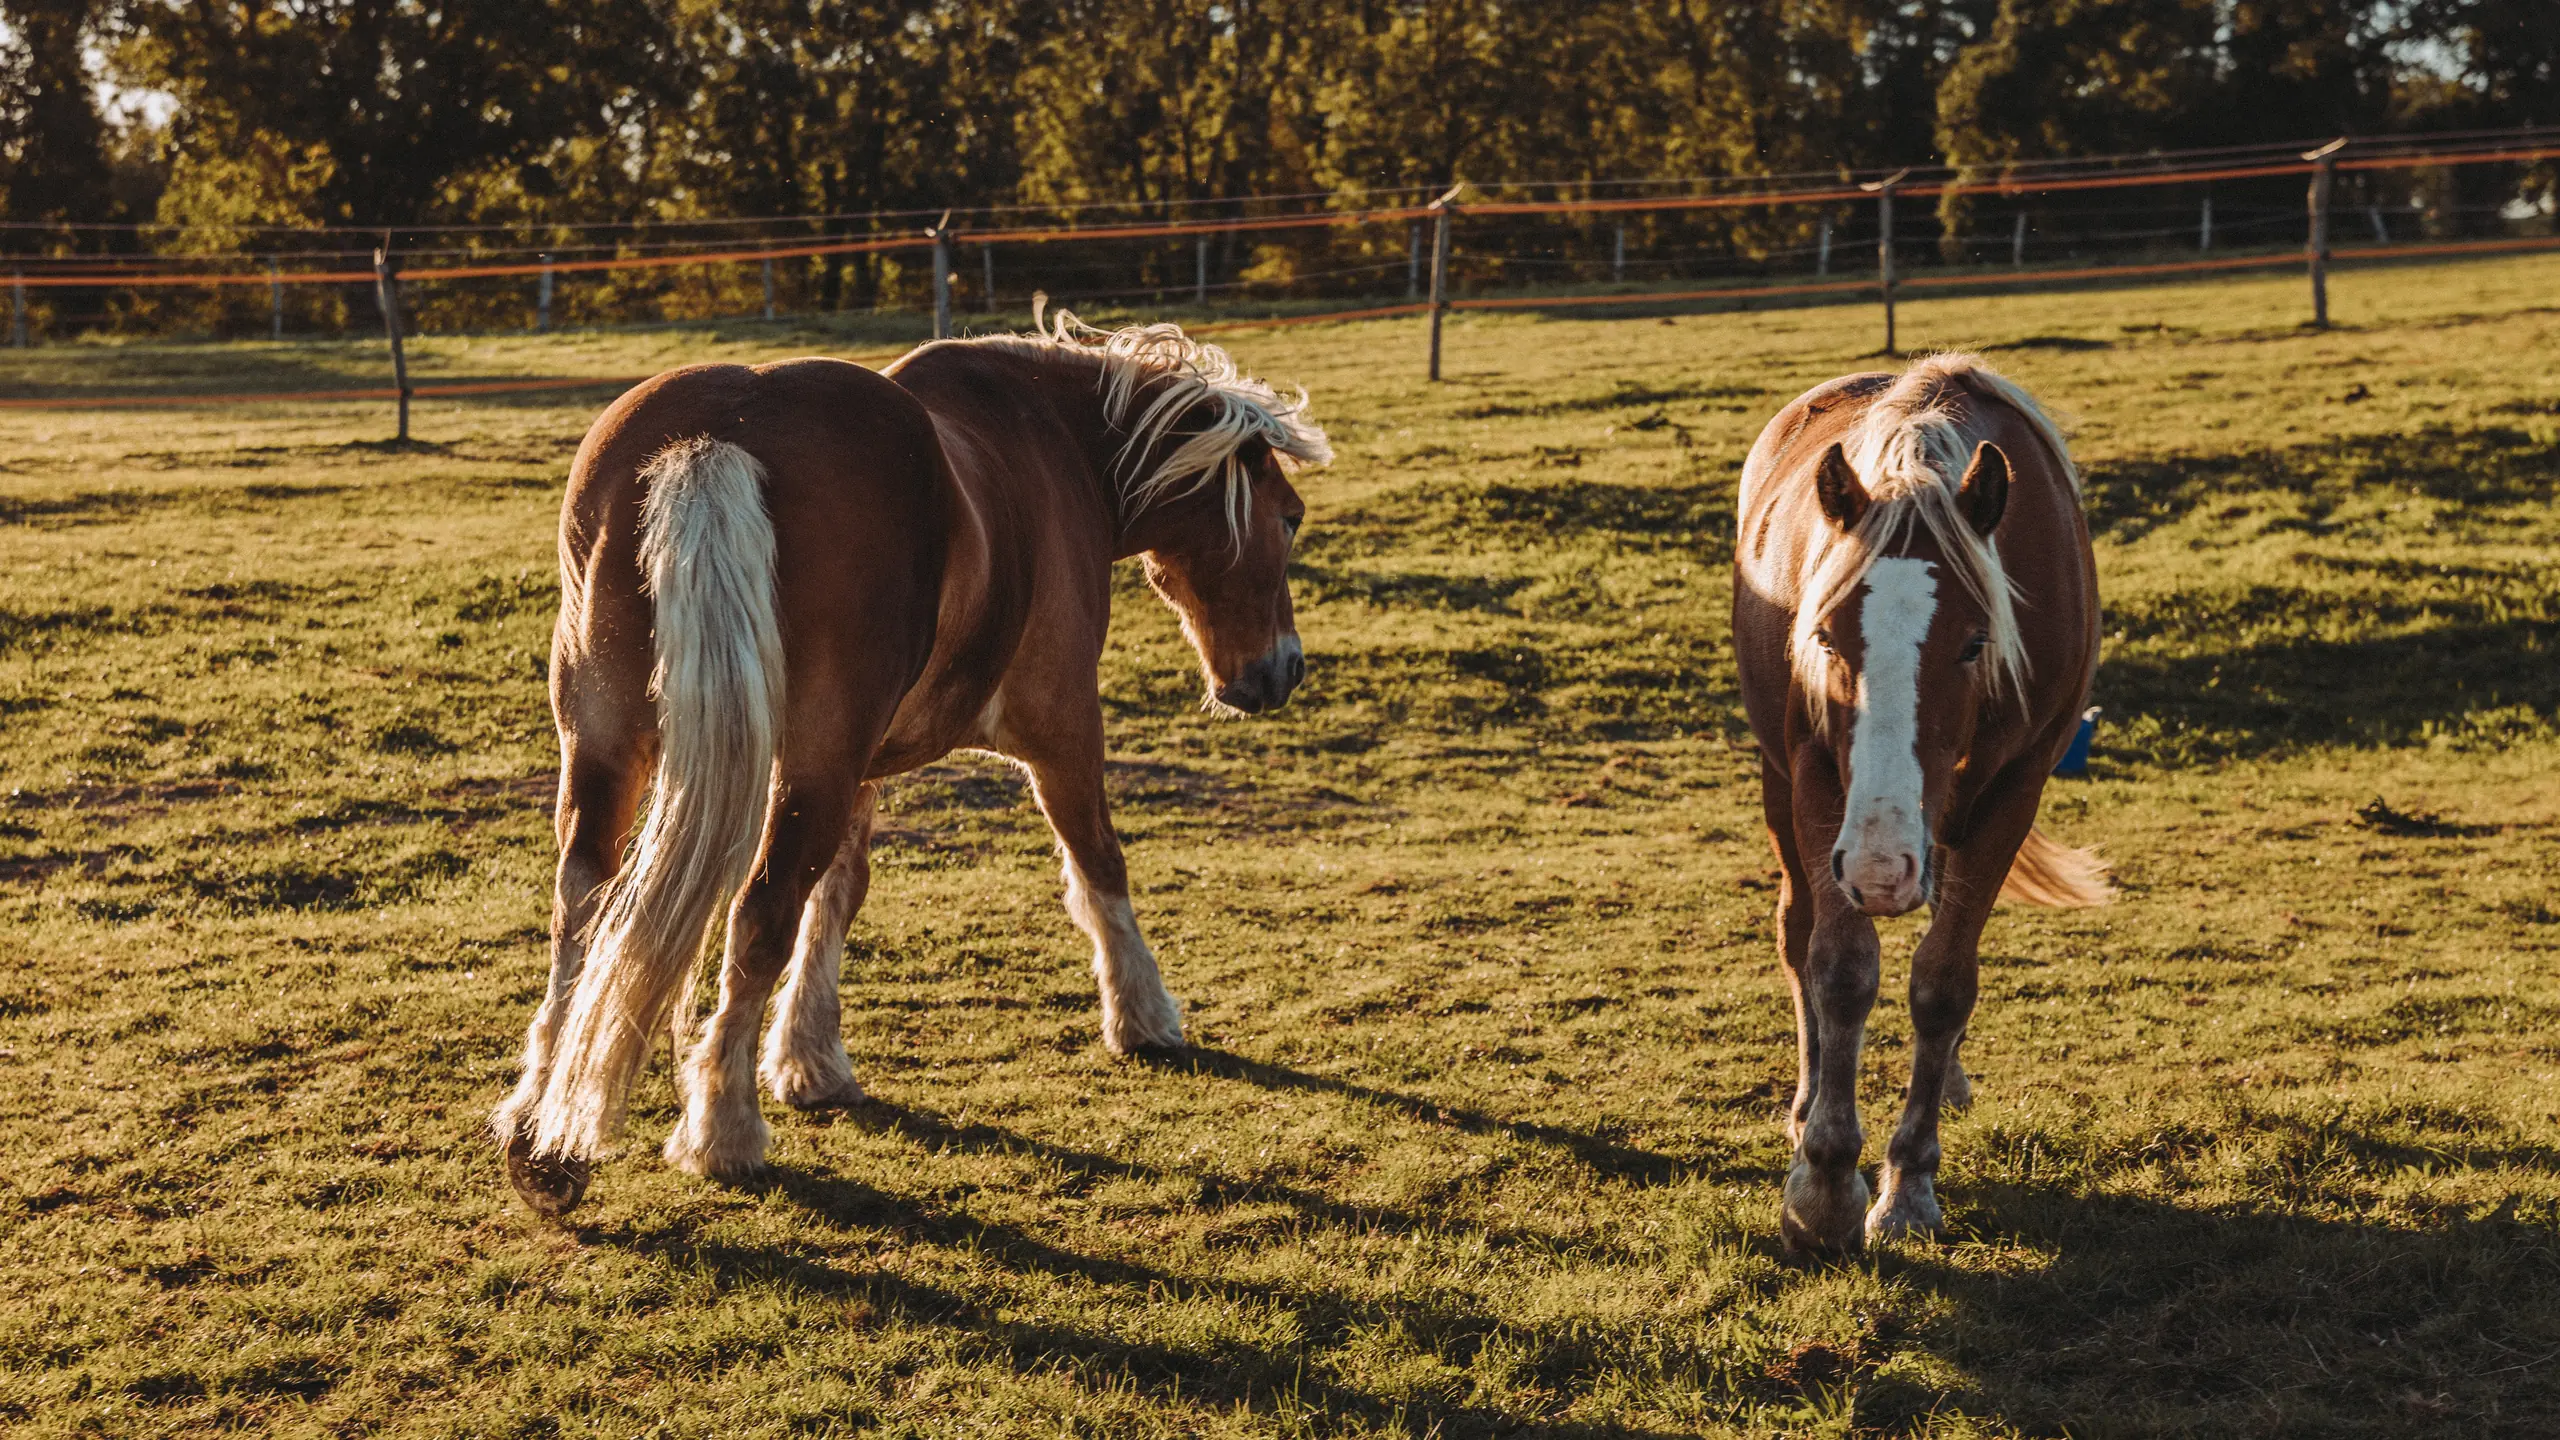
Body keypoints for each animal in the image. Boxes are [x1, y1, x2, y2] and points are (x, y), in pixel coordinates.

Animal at [490, 313, 1329, 1217]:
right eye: (1289, 518)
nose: (1282, 670)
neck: (1058, 441)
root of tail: (716, 438)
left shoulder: (860, 766)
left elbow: (837, 896)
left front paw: (810, 1060)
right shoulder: (1064, 727)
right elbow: (1098, 863)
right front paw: (1143, 1017)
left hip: (612, 749)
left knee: (583, 904)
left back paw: (540, 1131)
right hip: (807, 763)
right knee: (757, 911)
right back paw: (723, 1130)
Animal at [1732, 352, 2112, 1256]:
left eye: (1975, 642)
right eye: (1825, 635)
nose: (1880, 869)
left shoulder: (2015, 788)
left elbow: (1943, 982)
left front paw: (1907, 1184)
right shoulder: (1817, 780)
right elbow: (1840, 969)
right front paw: (1825, 1185)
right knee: (1796, 932)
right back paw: (1806, 1106)